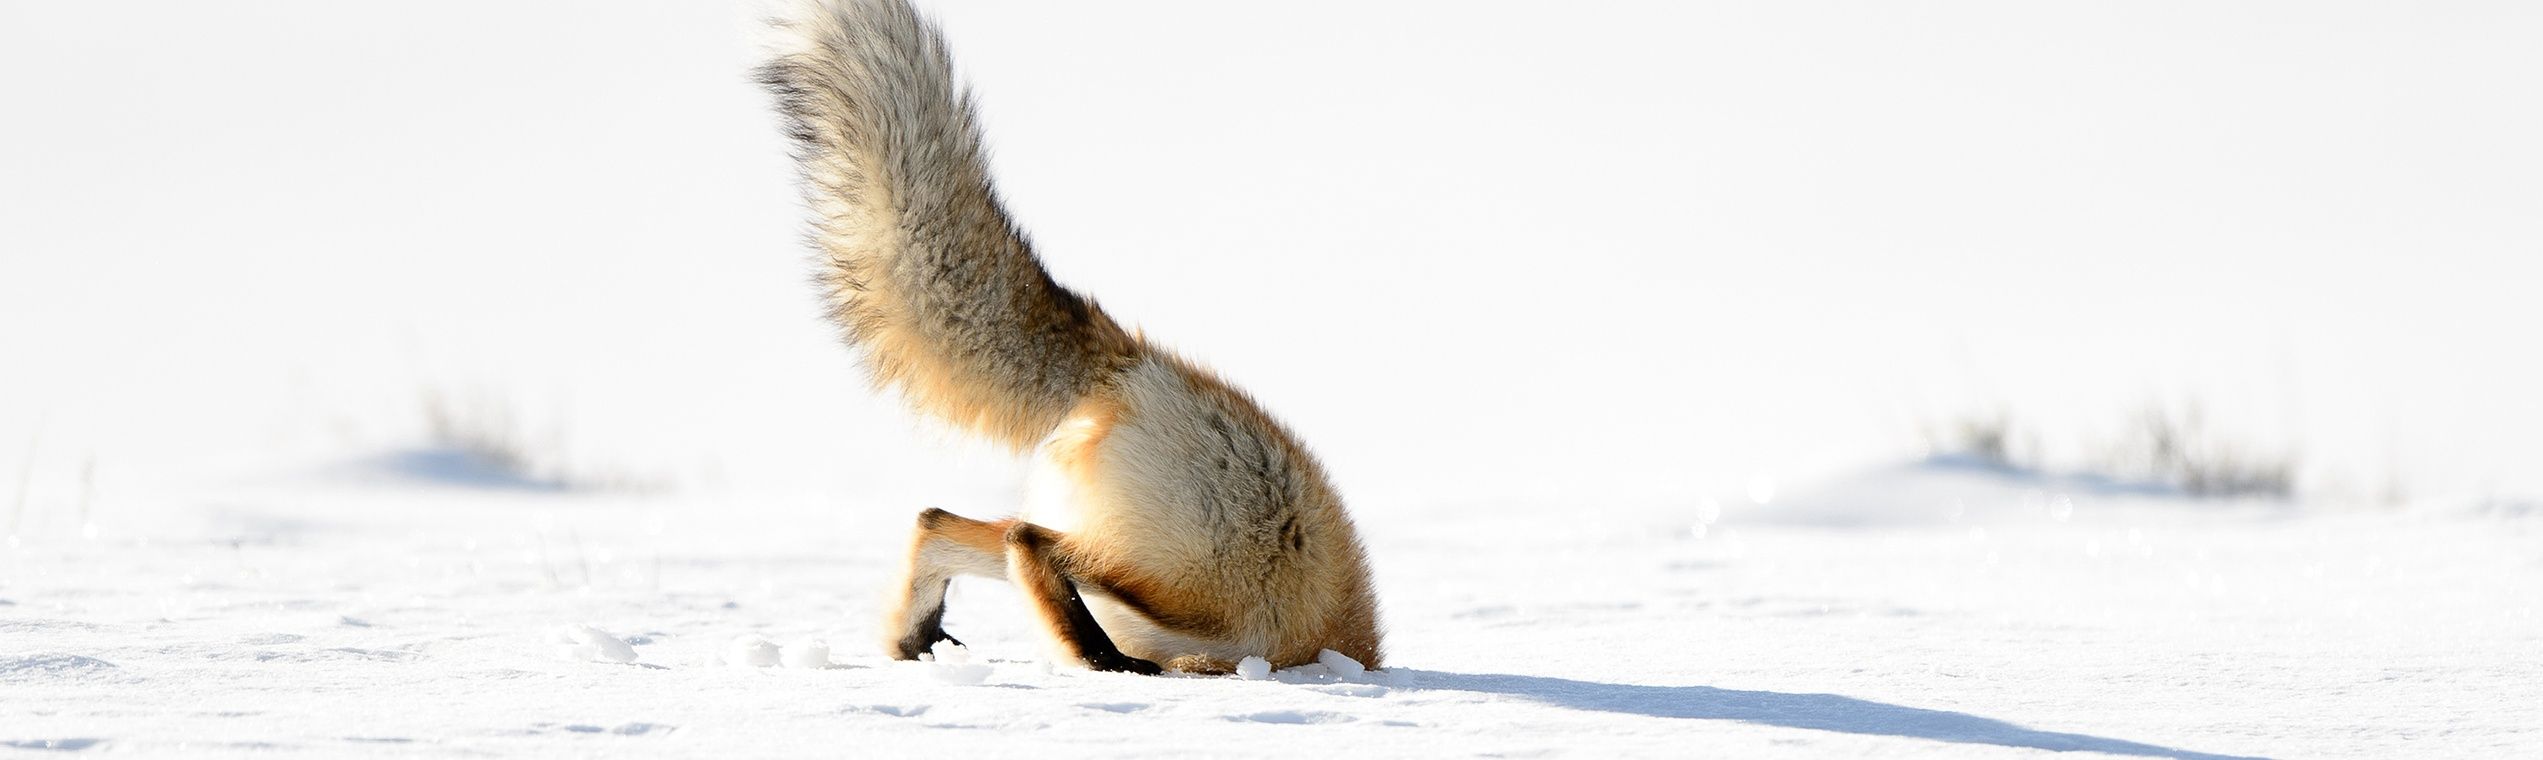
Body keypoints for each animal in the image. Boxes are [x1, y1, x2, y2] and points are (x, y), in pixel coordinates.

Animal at [757, 0, 1383, 681]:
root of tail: (1135, 364)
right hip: (1212, 594)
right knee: (1028, 543)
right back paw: (1110, 664)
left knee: (943, 525)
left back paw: (916, 638)